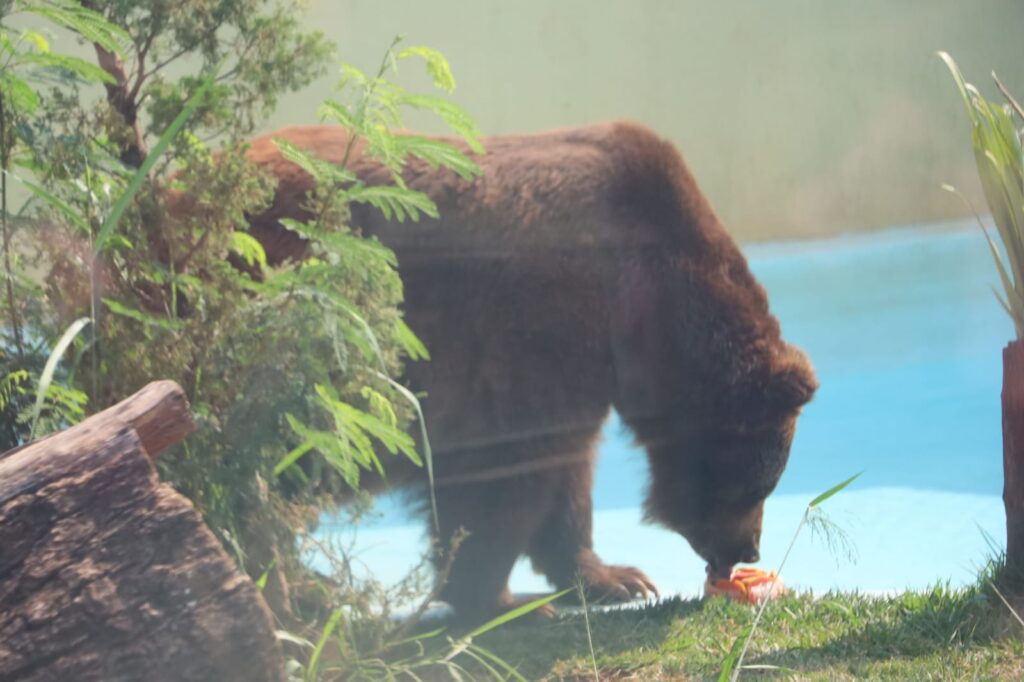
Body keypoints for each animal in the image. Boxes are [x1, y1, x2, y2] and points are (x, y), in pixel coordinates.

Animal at [239, 120, 815, 622]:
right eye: (754, 488)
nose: (747, 549)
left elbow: (567, 472)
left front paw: (614, 577)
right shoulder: (534, 330)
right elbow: (507, 470)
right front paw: (502, 600)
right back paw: (301, 591)